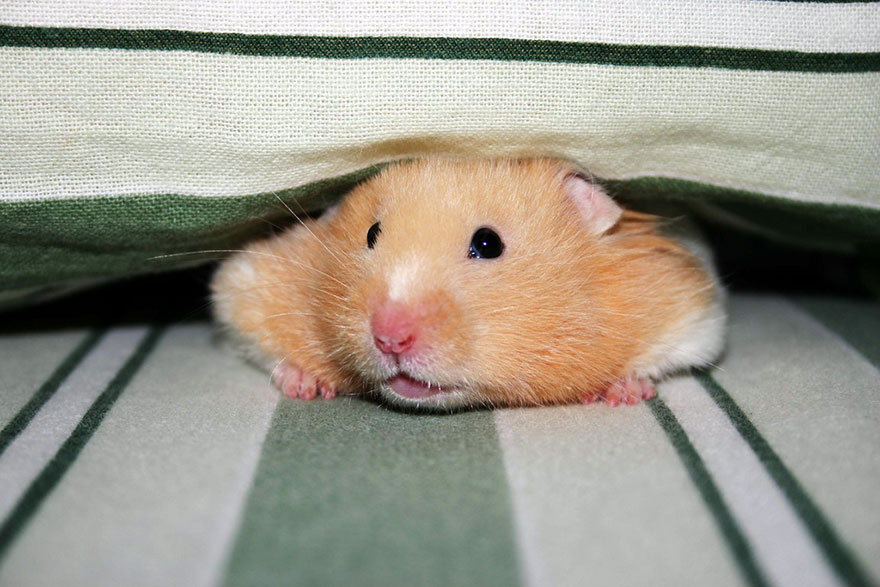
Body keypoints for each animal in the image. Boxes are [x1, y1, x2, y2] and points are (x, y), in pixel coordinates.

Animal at [211, 158, 725, 409]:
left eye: (487, 243)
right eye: (371, 234)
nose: (389, 337)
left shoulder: (692, 307)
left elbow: (675, 352)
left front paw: (620, 393)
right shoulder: (246, 286)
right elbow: (253, 334)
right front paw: (305, 383)